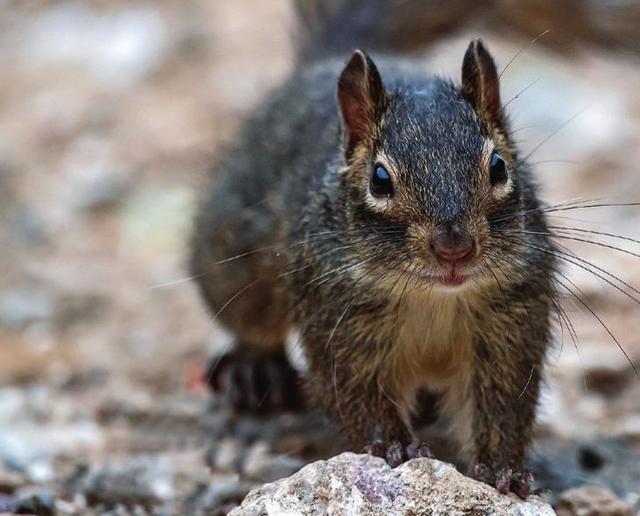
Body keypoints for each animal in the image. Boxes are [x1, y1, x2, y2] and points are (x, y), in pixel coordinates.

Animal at [189, 0, 580, 500]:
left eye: (499, 167)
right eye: (379, 180)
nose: (454, 248)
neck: (432, 296)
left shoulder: (512, 320)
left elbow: (504, 404)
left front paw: (502, 468)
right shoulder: (340, 320)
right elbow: (360, 394)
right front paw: (397, 447)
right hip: (233, 257)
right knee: (253, 324)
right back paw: (258, 370)